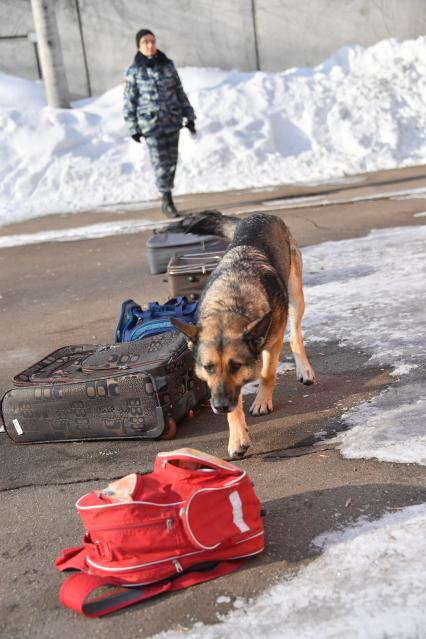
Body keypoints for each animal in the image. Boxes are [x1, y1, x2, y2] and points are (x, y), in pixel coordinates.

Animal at [169, 212, 312, 458]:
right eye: (209, 368)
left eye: (235, 366)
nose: (218, 406)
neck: (232, 303)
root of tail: (257, 215)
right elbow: (235, 407)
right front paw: (237, 438)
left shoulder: (273, 342)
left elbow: (267, 374)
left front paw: (262, 401)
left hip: (295, 295)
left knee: (295, 336)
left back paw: (304, 370)